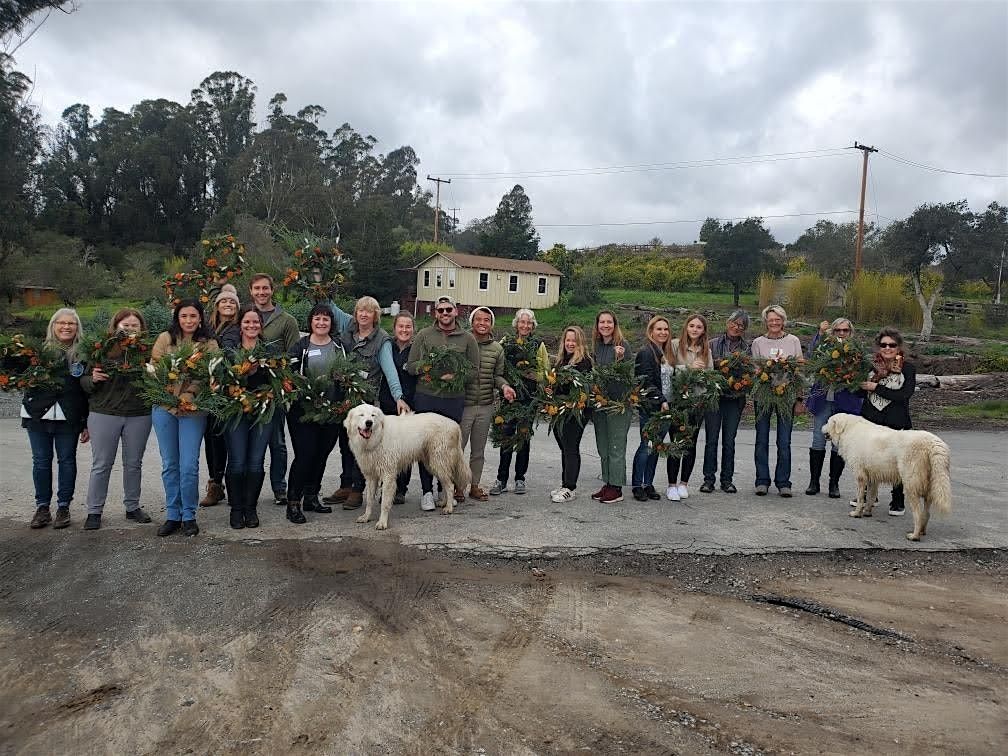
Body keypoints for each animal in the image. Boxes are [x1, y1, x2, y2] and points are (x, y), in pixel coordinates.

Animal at [342, 403, 471, 532]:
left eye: (373, 415)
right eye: (361, 415)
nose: (369, 423)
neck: (377, 438)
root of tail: (454, 424)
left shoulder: (388, 475)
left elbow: (384, 503)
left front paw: (382, 522)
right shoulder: (371, 477)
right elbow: (369, 500)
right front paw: (366, 517)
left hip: (438, 461)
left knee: (450, 485)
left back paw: (448, 507)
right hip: (432, 464)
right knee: (445, 483)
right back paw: (444, 502)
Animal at [818, 411, 951, 540]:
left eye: (828, 422)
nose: (821, 428)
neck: (848, 428)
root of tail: (933, 443)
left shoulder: (861, 476)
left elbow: (861, 498)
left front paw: (857, 513)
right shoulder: (872, 477)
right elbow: (870, 496)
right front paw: (867, 512)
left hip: (911, 486)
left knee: (918, 514)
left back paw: (914, 536)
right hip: (929, 487)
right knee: (926, 513)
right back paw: (922, 531)